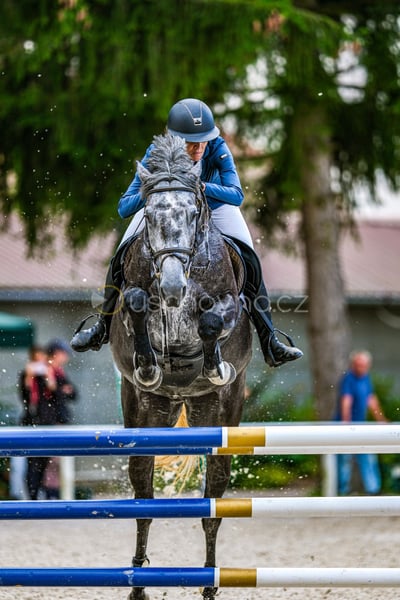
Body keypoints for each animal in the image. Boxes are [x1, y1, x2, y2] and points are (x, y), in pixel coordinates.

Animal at [110, 133, 252, 600]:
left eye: (192, 214)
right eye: (151, 215)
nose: (173, 286)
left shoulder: (227, 305)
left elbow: (211, 319)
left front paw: (212, 363)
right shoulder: (133, 301)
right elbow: (137, 301)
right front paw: (149, 362)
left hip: (221, 413)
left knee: (213, 503)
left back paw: (210, 582)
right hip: (146, 410)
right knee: (143, 499)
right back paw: (138, 583)